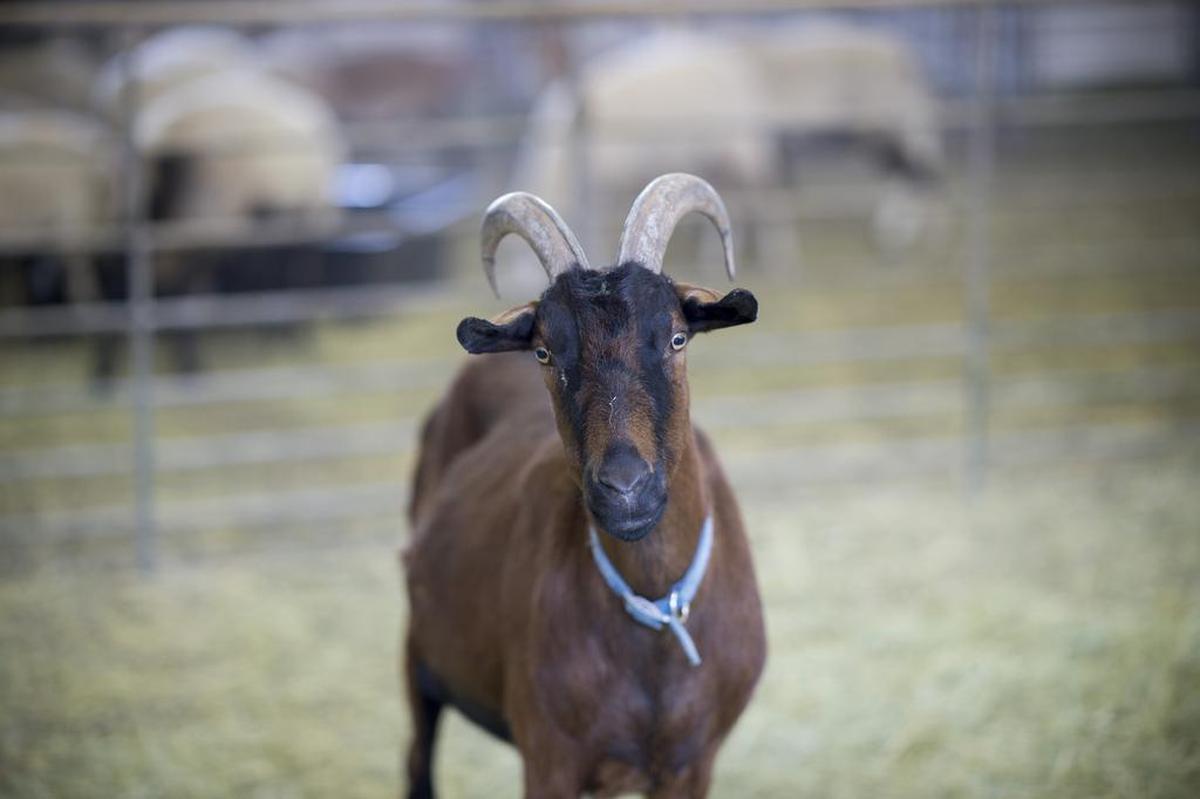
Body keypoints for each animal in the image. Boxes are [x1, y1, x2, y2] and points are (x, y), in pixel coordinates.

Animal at [403, 173, 766, 797]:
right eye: (545, 351)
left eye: (677, 338)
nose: (624, 486)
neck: (654, 612)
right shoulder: (548, 759)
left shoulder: (692, 764)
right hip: (418, 653)